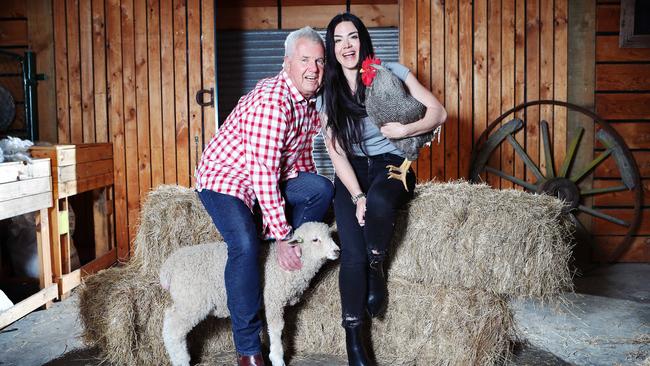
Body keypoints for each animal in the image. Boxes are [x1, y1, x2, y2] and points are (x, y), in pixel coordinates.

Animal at [159, 222, 340, 364]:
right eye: (315, 239)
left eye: (330, 236)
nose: (337, 251)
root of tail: (169, 266)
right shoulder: (273, 298)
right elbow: (276, 329)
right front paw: (277, 358)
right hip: (192, 300)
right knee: (173, 329)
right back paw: (181, 361)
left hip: (186, 299)